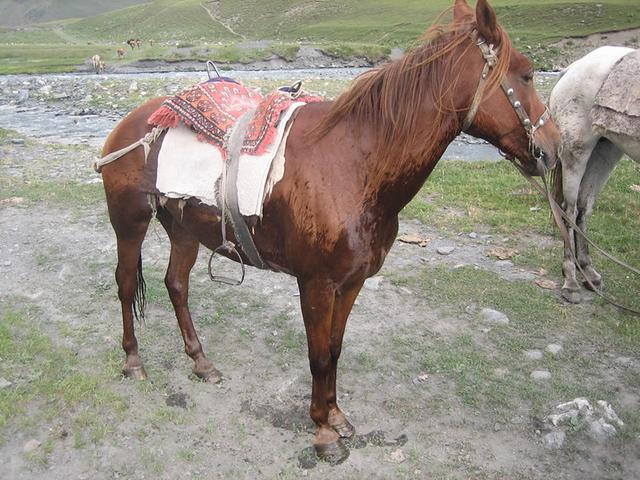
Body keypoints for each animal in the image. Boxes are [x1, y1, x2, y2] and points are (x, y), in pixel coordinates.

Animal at [99, 0, 560, 463]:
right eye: (527, 74)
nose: (553, 150)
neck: (354, 164)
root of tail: (132, 124)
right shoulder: (316, 283)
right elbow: (319, 355)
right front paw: (322, 432)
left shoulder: (351, 282)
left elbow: (335, 349)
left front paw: (337, 417)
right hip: (130, 224)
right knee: (125, 284)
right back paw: (133, 362)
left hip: (184, 230)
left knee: (176, 284)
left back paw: (201, 362)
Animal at [549, 46, 639, 304]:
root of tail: (572, 68)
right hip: (576, 152)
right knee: (568, 211)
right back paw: (570, 280)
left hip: (606, 151)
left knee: (584, 207)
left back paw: (588, 271)